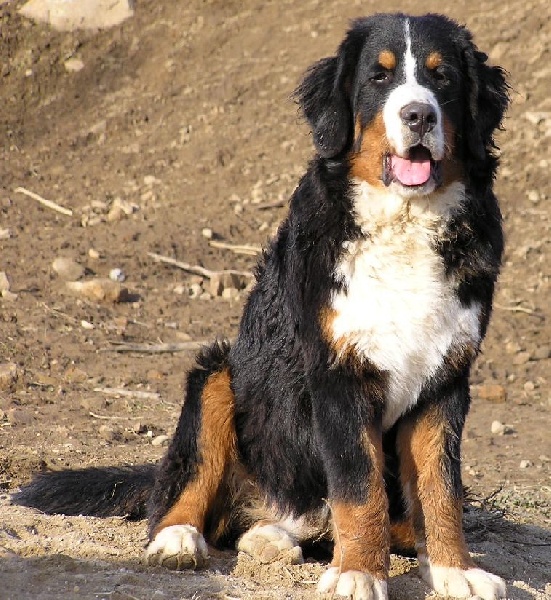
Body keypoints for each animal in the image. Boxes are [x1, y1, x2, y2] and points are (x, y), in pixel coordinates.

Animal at [15, 13, 509, 600]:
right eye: (380, 77)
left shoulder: (445, 380)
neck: (405, 223)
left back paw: (282, 538)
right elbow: (359, 486)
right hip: (218, 374)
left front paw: (455, 568)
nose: (418, 114)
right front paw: (359, 573)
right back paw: (181, 540)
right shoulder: (336, 375)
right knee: (185, 489)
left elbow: (440, 488)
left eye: (442, 77)